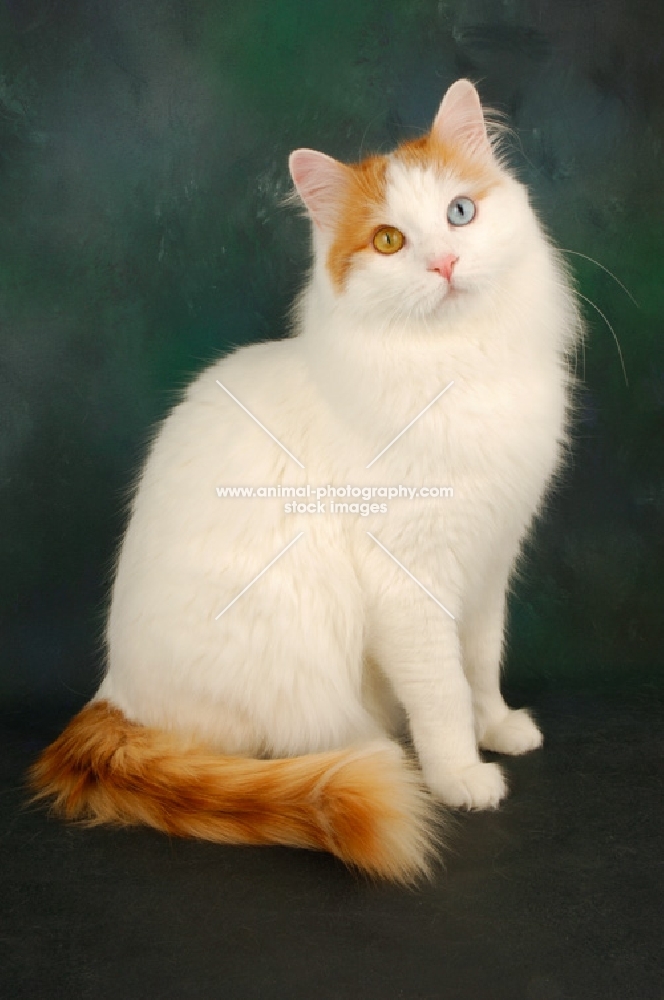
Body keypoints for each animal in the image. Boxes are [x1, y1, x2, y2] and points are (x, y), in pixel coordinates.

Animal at [29, 82, 580, 880]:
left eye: (459, 213)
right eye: (389, 242)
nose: (445, 263)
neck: (454, 368)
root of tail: (113, 696)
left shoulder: (487, 563)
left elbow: (480, 663)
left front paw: (500, 727)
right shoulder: (410, 582)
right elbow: (443, 692)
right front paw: (461, 777)